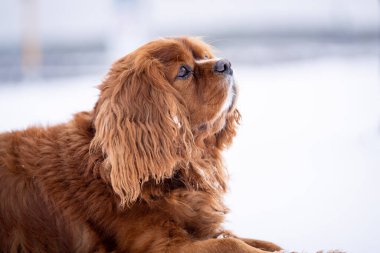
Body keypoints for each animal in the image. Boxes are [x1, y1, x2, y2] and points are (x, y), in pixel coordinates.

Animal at [0, 36, 282, 252]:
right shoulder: (158, 245)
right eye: (183, 71)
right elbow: (229, 244)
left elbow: (242, 238)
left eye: (204, 56)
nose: (226, 63)